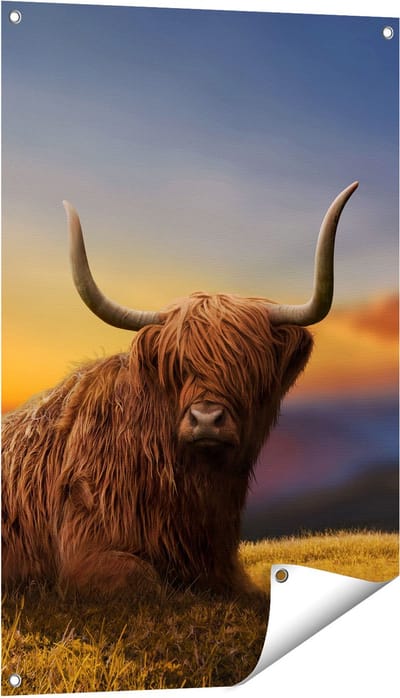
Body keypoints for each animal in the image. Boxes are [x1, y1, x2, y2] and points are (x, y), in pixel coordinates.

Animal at [2, 182, 358, 598]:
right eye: (177, 366)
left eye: (246, 364)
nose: (206, 420)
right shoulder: (84, 554)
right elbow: (147, 582)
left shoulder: (223, 567)